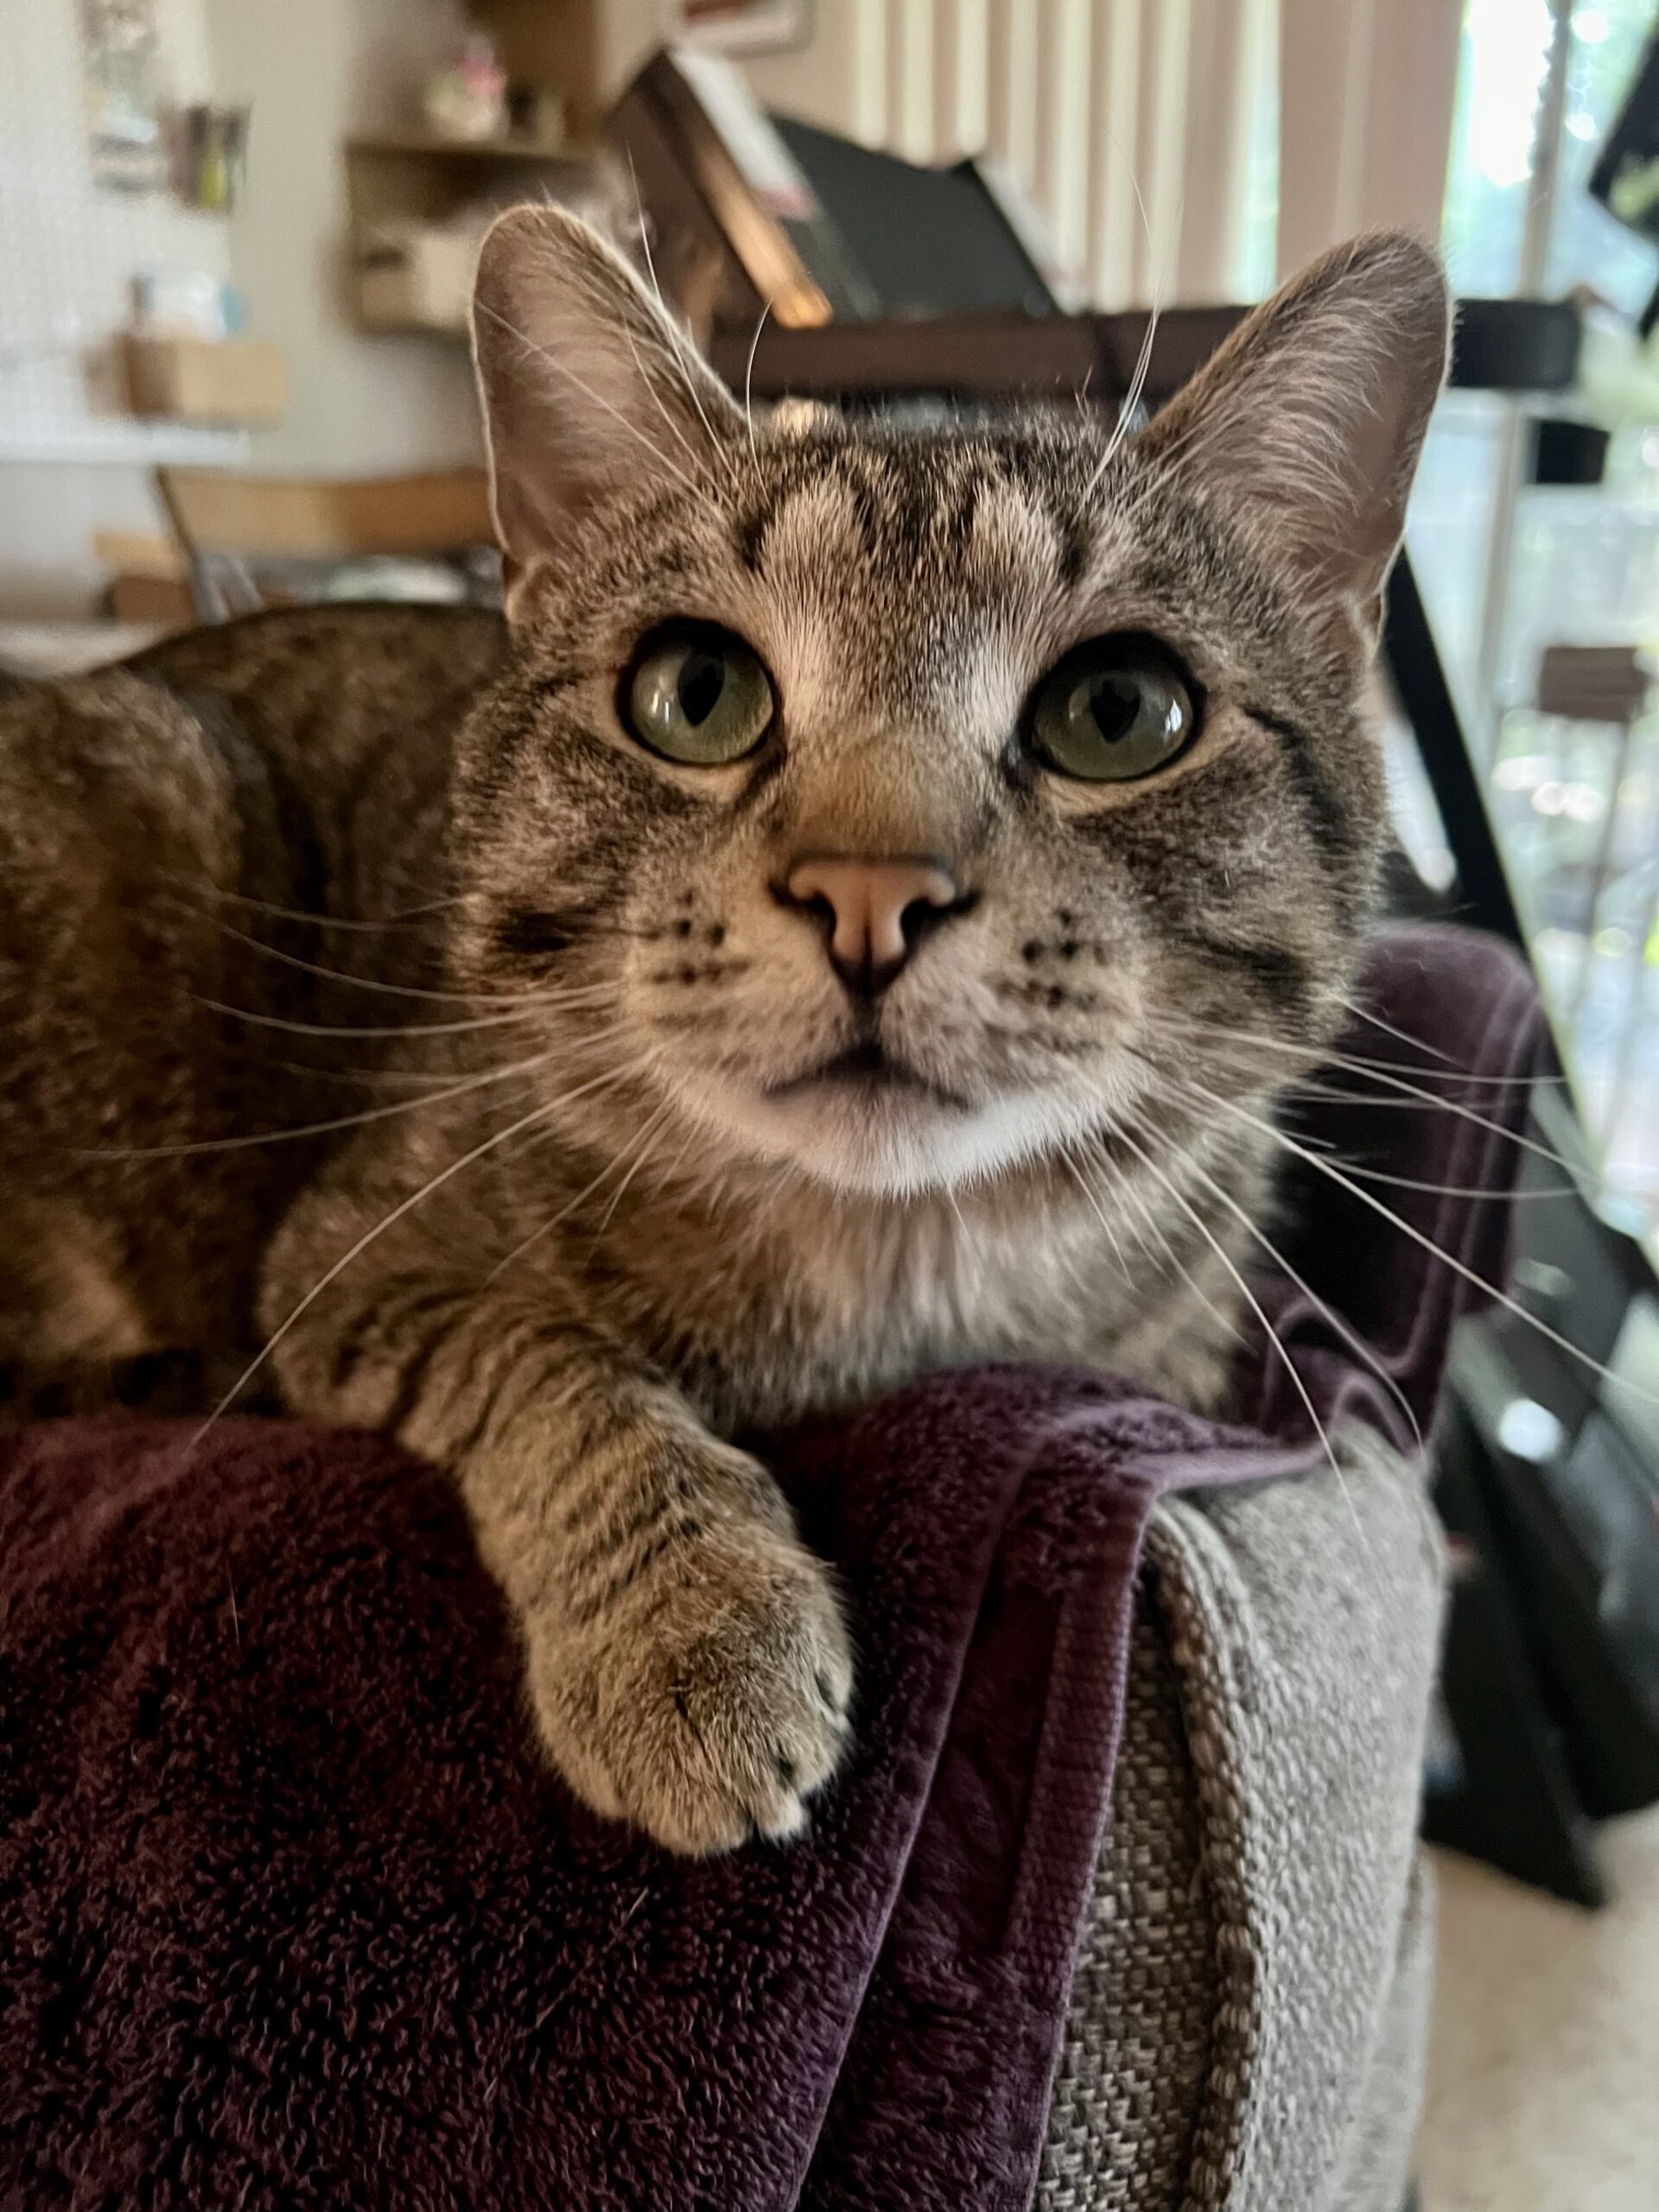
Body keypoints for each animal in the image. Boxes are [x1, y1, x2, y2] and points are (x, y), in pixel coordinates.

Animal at [0, 215, 1451, 1849]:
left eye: (1121, 711)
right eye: (695, 694)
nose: (870, 891)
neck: (884, 1290)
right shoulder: (352, 1258)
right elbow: (550, 1366)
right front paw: (687, 1618)